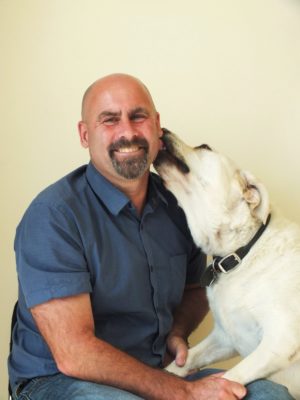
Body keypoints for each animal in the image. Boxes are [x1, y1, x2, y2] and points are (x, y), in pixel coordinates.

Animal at [154, 129, 300, 400]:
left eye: (204, 147)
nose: (163, 131)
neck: (242, 253)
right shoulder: (225, 337)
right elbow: (182, 363)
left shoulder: (280, 342)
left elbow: (230, 377)